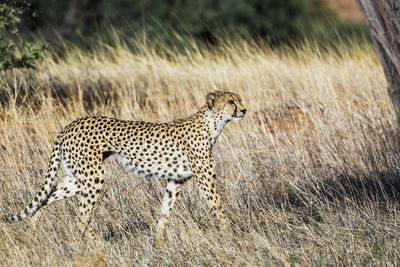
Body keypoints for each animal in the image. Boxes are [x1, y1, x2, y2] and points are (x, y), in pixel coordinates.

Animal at [4, 91, 245, 234]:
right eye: (231, 101)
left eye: (239, 100)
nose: (244, 110)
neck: (213, 124)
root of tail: (70, 124)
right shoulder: (205, 181)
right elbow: (218, 208)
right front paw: (230, 235)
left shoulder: (174, 182)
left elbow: (164, 213)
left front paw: (159, 240)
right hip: (93, 178)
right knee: (81, 217)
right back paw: (87, 245)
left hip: (77, 176)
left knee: (47, 196)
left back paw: (34, 227)